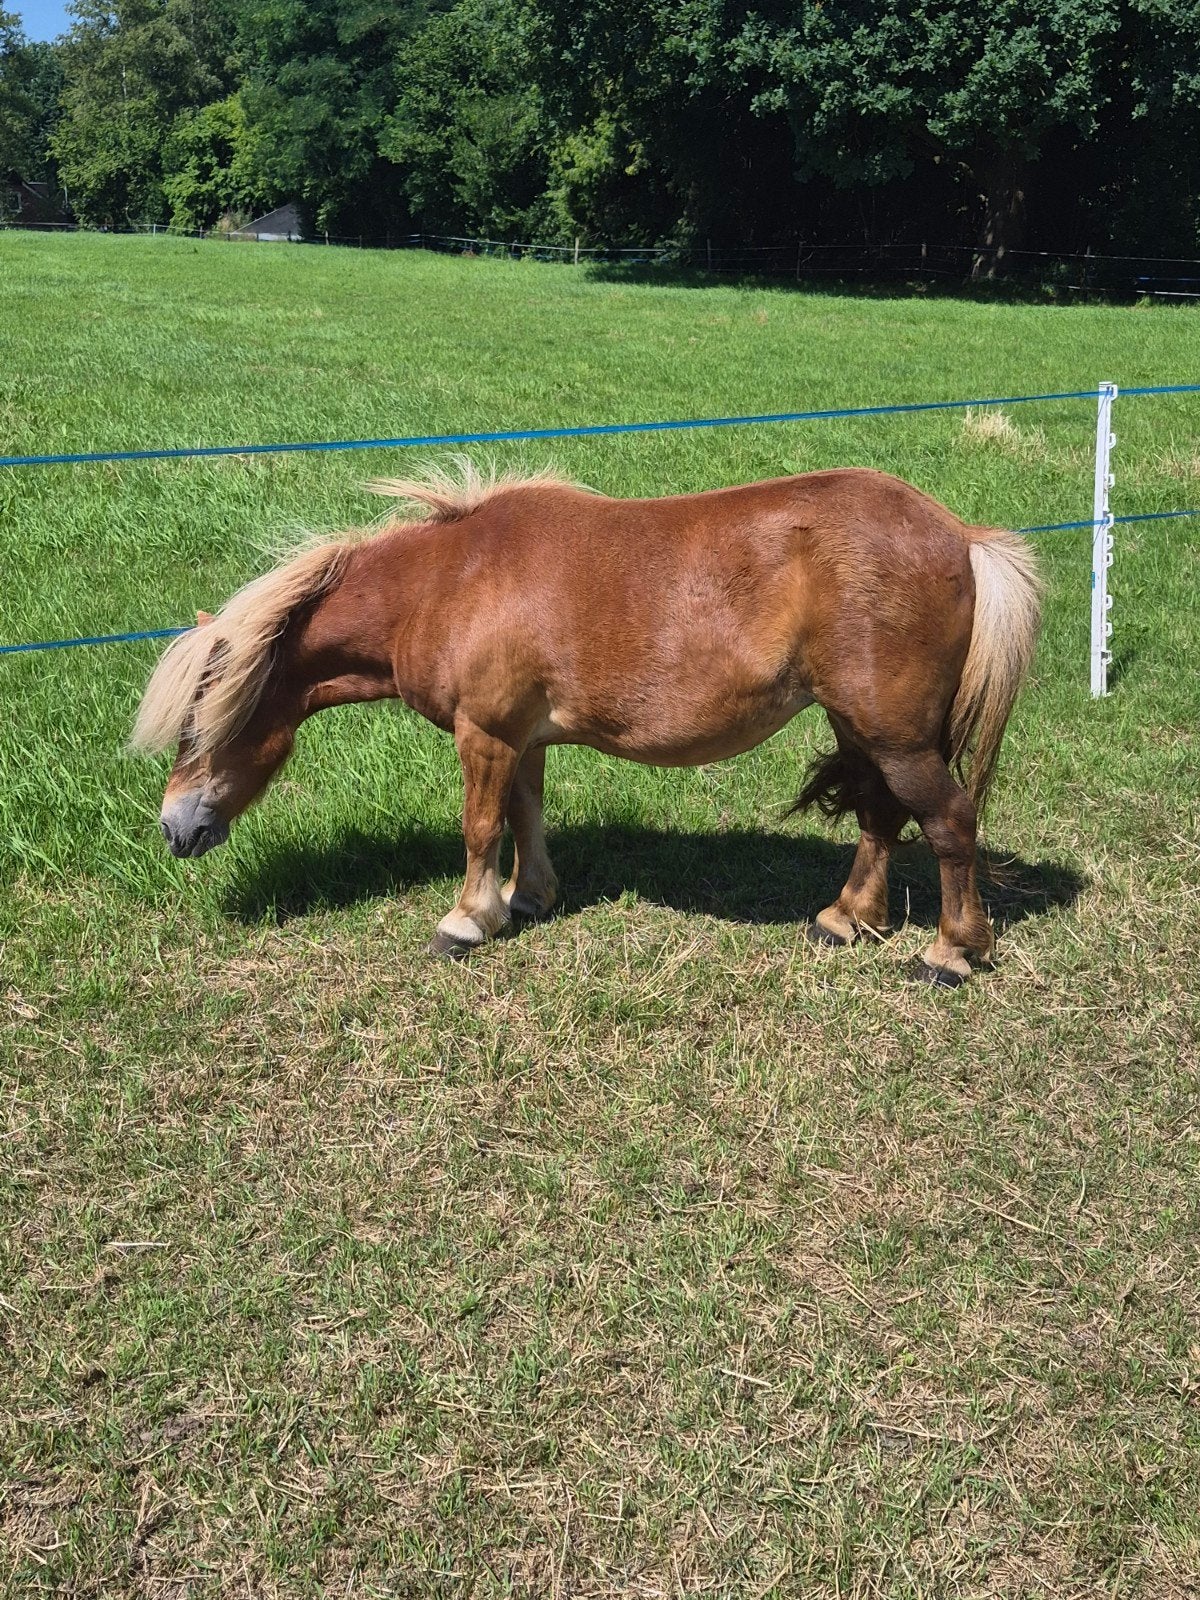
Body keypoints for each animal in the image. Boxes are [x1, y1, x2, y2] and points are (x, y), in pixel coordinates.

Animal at [132, 462, 1041, 986]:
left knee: (949, 822)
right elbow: (526, 818)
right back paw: (847, 919)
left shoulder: (485, 734)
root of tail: (960, 536)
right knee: (881, 818)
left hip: (897, 738)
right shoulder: (522, 739)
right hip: (867, 731)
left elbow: (480, 827)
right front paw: (528, 898)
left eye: (197, 726)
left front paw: (465, 921)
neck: (448, 582)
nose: (176, 829)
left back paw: (952, 953)